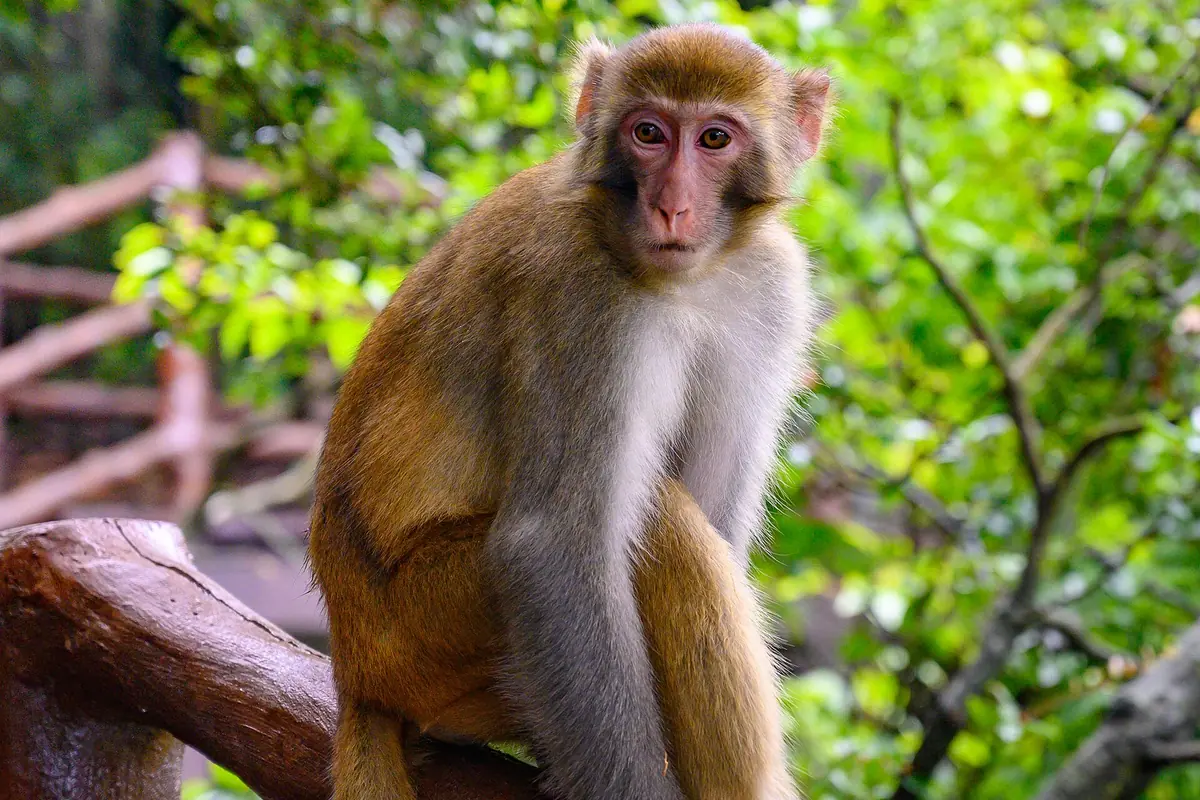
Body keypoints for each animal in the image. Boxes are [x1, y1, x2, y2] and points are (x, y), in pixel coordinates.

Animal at [308, 22, 831, 800]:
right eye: (648, 133)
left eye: (714, 138)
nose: (671, 206)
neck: (687, 279)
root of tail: (353, 671)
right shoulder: (577, 298)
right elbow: (550, 543)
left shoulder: (771, 285)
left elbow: (717, 517)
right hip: (423, 630)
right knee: (665, 531)